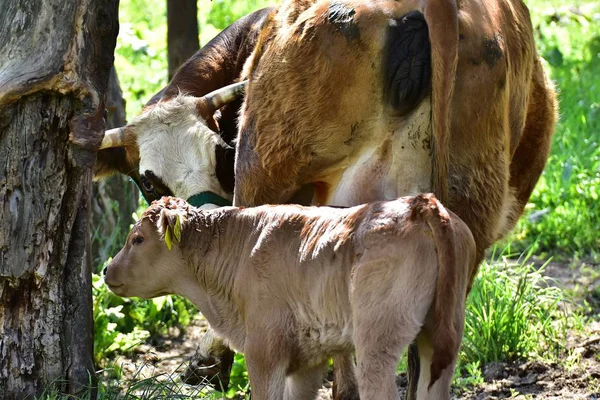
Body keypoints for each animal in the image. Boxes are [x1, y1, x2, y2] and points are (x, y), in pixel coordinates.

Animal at [104, 195, 478, 400]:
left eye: (137, 239)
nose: (106, 269)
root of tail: (419, 203)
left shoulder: (263, 352)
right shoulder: (307, 360)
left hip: (377, 345)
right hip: (439, 337)